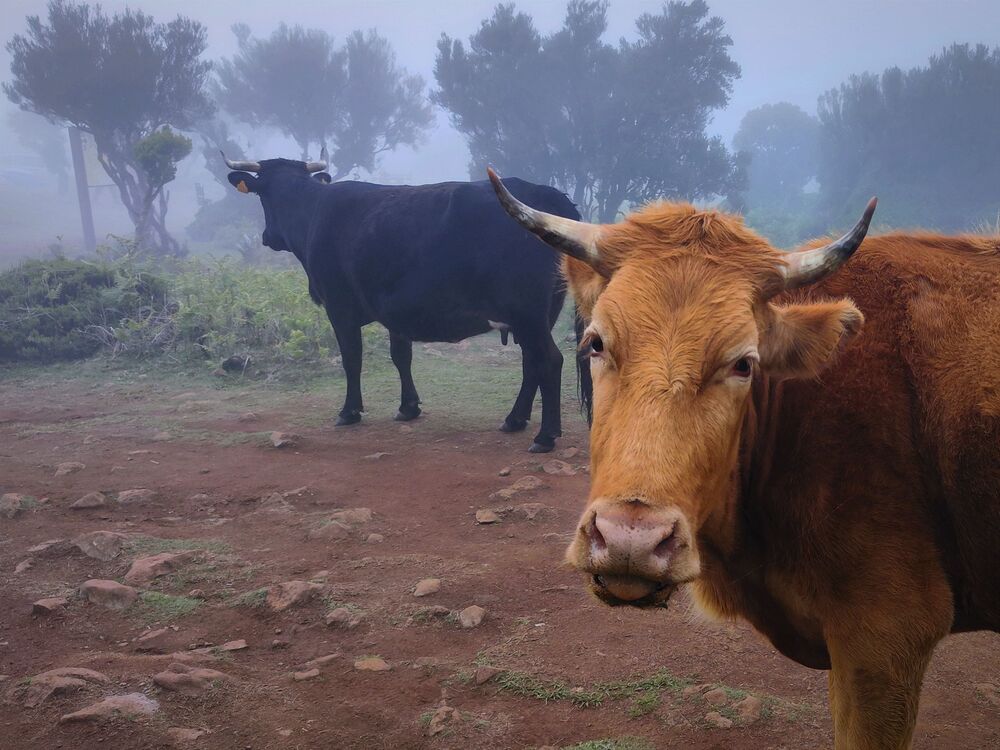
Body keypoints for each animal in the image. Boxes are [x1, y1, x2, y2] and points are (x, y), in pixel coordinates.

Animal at [222, 153, 592, 453]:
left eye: (262, 196)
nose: (267, 237)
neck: (314, 211)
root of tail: (544, 193)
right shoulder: (394, 311)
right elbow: (401, 357)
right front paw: (408, 407)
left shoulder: (339, 307)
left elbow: (352, 359)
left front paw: (349, 411)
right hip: (537, 314)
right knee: (532, 364)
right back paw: (514, 420)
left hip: (526, 312)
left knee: (548, 361)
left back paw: (545, 436)